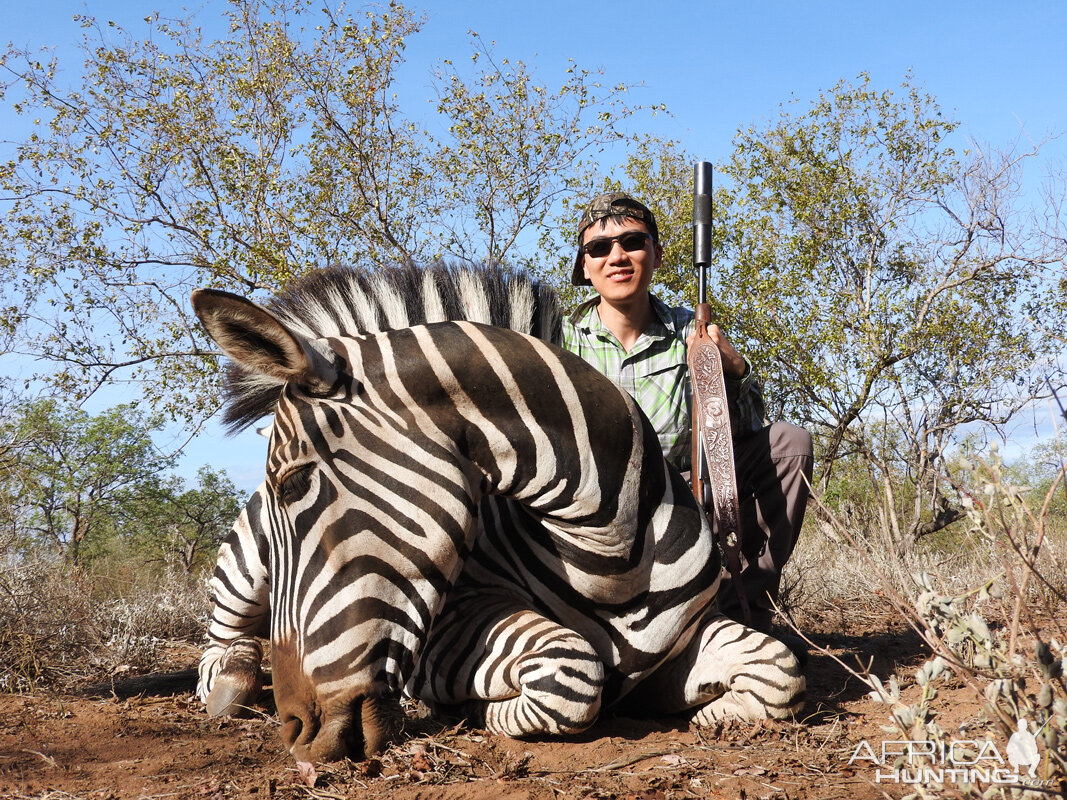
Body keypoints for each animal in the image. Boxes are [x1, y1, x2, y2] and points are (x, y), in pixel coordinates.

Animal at [192, 264, 802, 763]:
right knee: (221, 636)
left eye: (296, 483)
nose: (295, 730)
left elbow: (779, 669)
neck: (613, 554)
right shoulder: (447, 634)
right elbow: (570, 669)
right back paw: (230, 684)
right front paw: (479, 711)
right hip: (246, 567)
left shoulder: (685, 637)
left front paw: (710, 712)